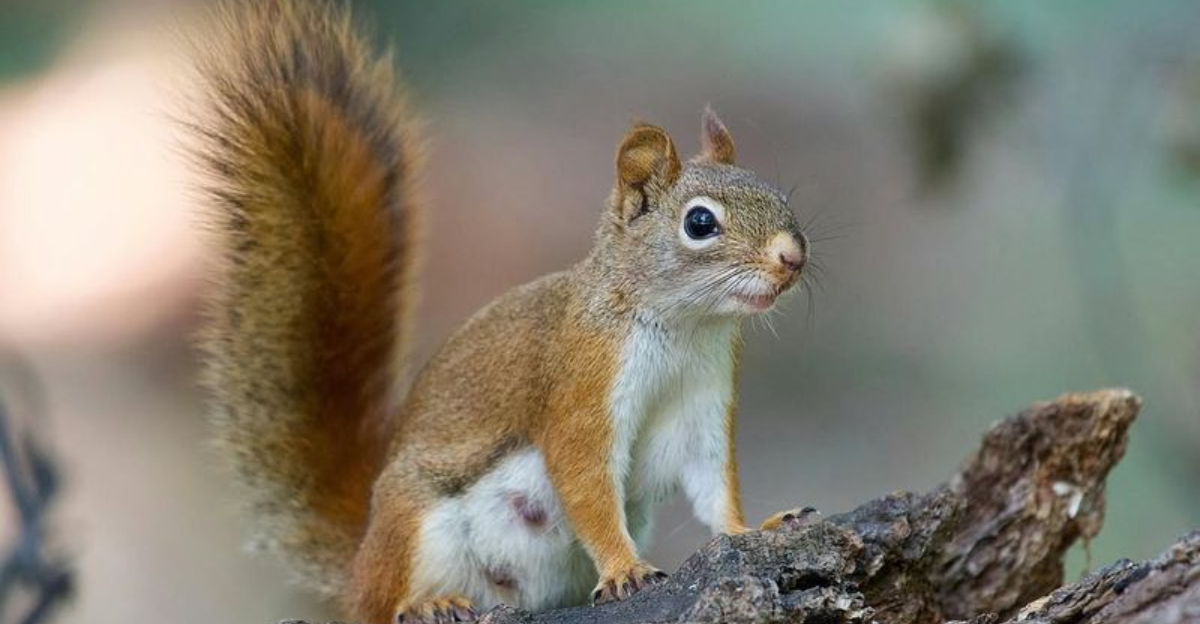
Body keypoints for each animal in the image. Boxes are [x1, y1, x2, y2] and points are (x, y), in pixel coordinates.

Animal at [191, 1, 810, 622]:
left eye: (778, 196)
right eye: (700, 223)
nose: (793, 257)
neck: (684, 327)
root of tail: (358, 560)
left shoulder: (704, 399)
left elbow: (713, 485)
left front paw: (753, 528)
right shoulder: (582, 382)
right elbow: (584, 482)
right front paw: (624, 569)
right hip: (415, 525)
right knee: (378, 603)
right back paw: (426, 603)